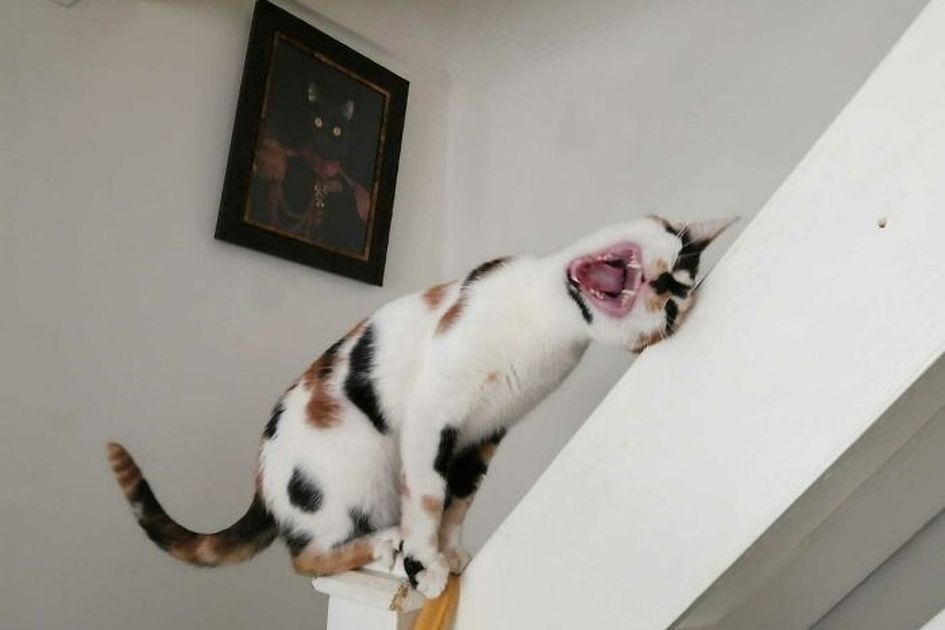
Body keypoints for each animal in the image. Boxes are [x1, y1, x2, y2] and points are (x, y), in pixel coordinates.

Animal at [106, 215, 734, 599]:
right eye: (673, 256)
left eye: (673, 309)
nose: (661, 287)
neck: (548, 324)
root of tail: (262, 485)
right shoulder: (434, 413)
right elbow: (430, 494)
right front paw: (426, 563)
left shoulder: (487, 432)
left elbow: (460, 499)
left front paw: (449, 553)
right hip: (356, 460)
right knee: (305, 558)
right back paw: (383, 545)